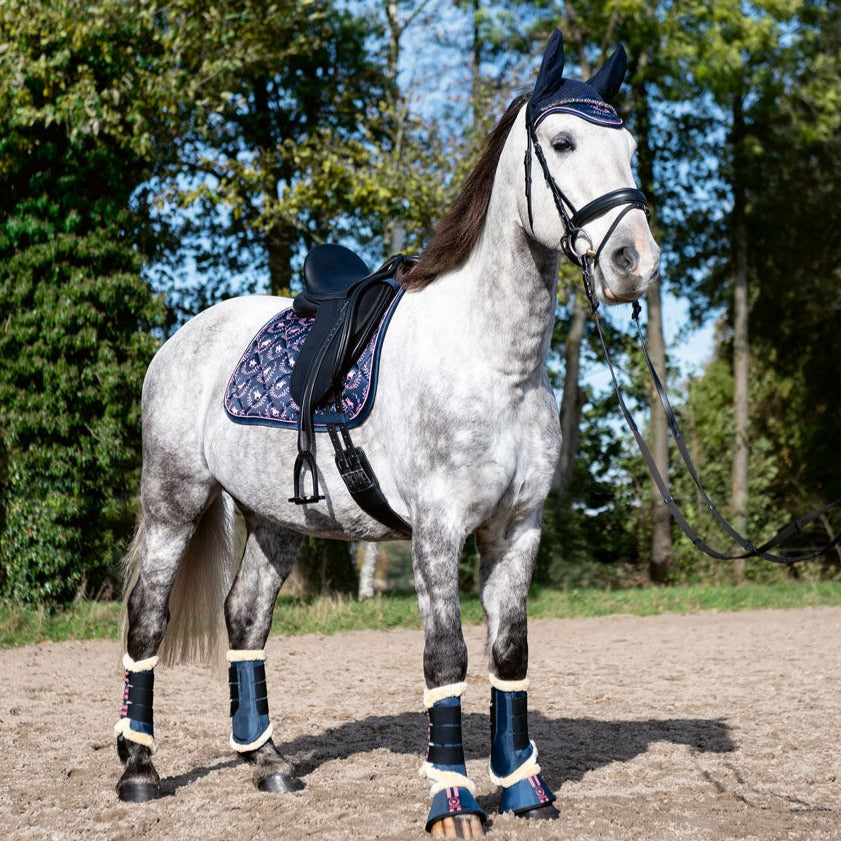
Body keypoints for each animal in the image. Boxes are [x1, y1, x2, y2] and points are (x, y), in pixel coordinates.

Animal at [114, 30, 660, 839]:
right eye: (562, 142)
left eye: (629, 147)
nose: (635, 263)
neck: (492, 361)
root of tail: (184, 337)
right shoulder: (437, 530)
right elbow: (446, 657)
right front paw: (453, 801)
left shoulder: (517, 528)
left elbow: (509, 652)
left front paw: (524, 788)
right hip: (173, 502)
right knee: (147, 617)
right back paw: (139, 770)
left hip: (278, 521)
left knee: (245, 617)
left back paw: (268, 761)